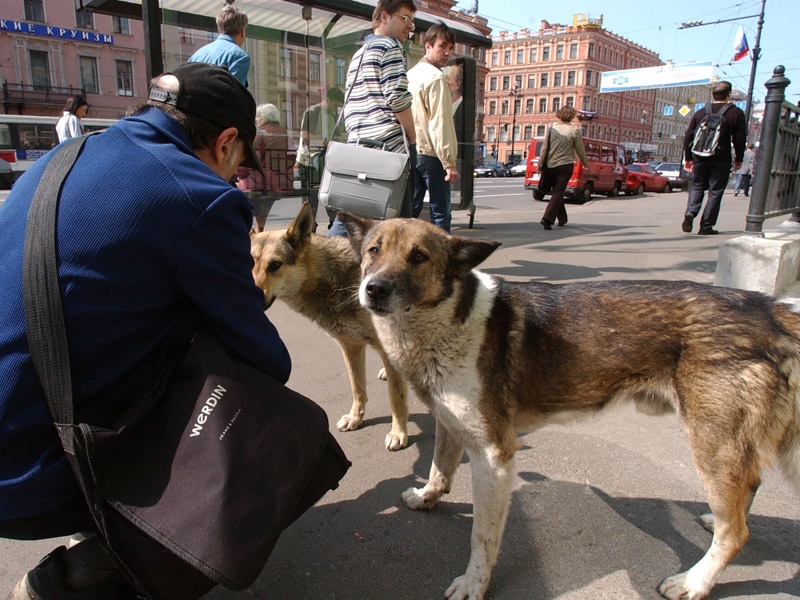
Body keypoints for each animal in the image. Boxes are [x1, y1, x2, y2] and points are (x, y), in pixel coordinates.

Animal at [250, 202, 410, 450]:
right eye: (250, 263)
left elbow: (396, 398)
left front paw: (398, 432)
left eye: (275, 265)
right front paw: (355, 418)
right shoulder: (350, 347)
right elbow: (358, 389)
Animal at [338, 212, 800, 600]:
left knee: (736, 532)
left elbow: (482, 538)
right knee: (745, 495)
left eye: (418, 257)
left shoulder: (494, 456)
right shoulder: (452, 425)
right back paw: (712, 522)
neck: (448, 320)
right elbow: (438, 470)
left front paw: (474, 583)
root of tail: (769, 309)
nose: (374, 289)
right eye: (373, 251)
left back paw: (695, 581)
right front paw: (426, 497)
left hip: (711, 442)